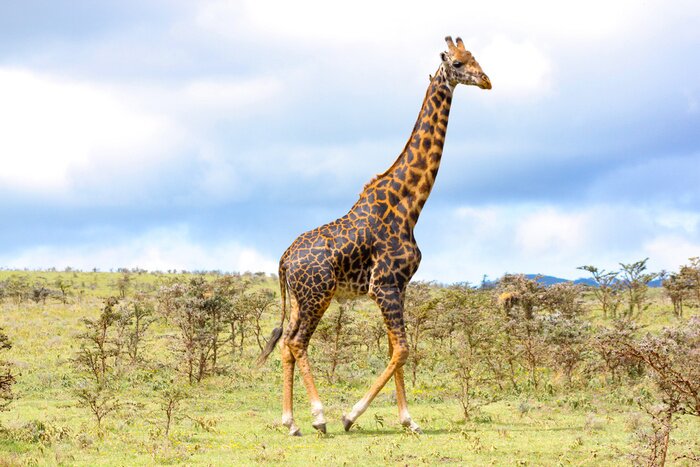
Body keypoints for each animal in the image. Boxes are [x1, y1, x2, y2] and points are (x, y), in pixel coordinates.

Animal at [257, 36, 491, 436]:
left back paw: (290, 422)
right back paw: (318, 416)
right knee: (299, 342)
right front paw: (351, 416)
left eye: (475, 57)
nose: (487, 80)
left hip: (300, 299)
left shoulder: (398, 287)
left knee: (287, 343)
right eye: (459, 63)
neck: (409, 205)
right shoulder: (384, 285)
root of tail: (285, 258)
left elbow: (394, 348)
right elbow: (403, 349)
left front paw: (408, 419)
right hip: (317, 294)